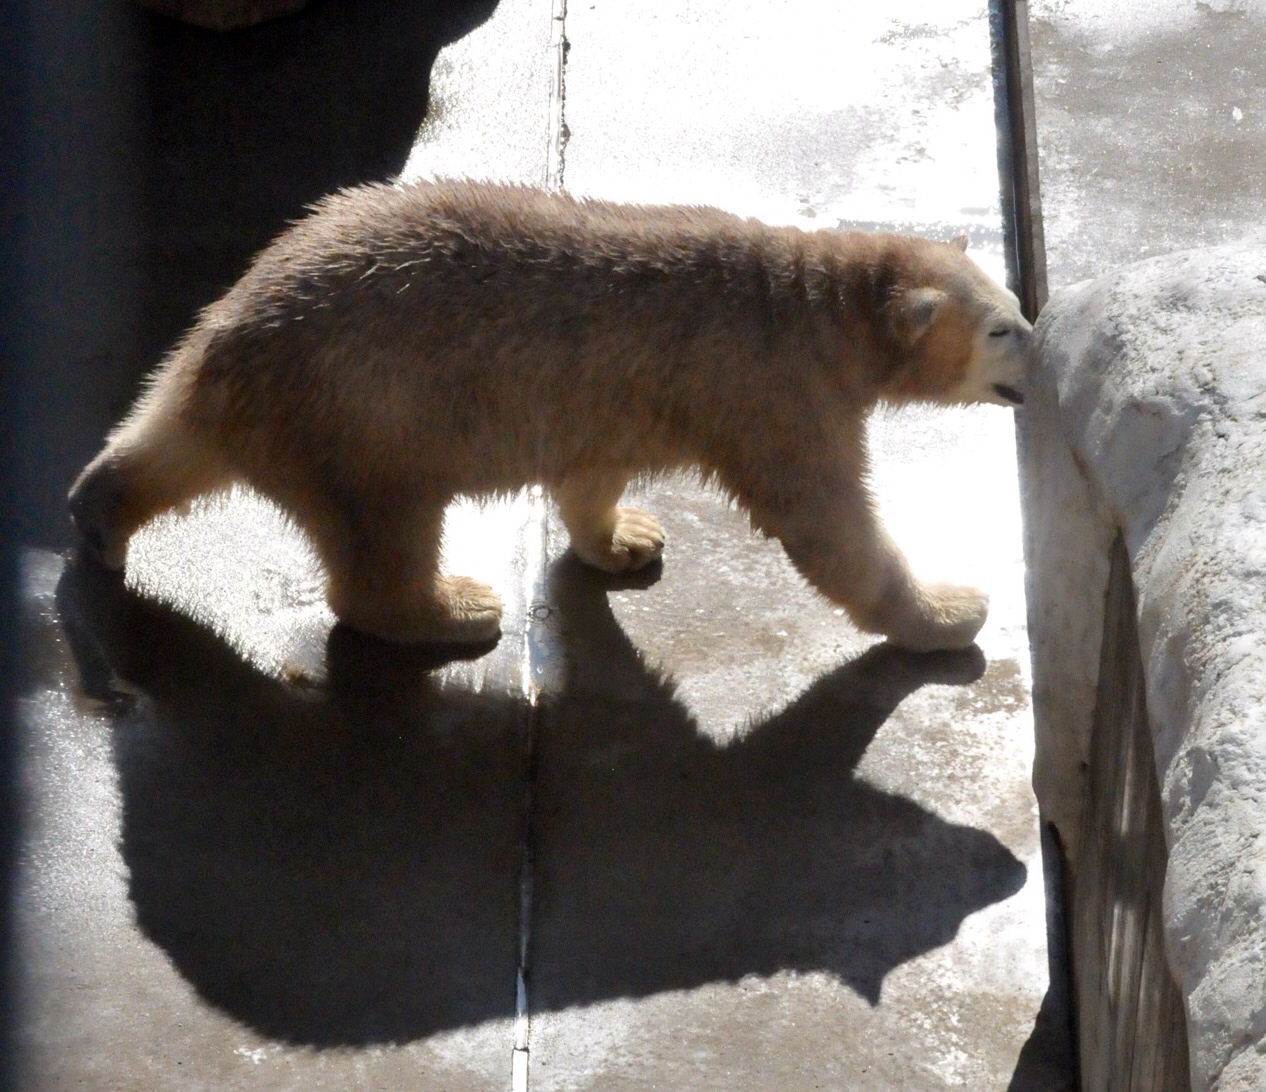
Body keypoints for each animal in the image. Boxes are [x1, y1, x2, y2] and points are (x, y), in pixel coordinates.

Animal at [66, 180, 1027, 652]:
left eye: (1014, 303)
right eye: (1000, 327)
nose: (1042, 345)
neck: (814, 306)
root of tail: (233, 343)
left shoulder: (611, 393)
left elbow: (592, 476)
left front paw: (631, 538)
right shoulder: (775, 390)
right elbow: (825, 521)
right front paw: (953, 611)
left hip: (234, 374)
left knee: (163, 443)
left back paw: (98, 516)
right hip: (369, 410)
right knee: (385, 530)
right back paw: (453, 611)